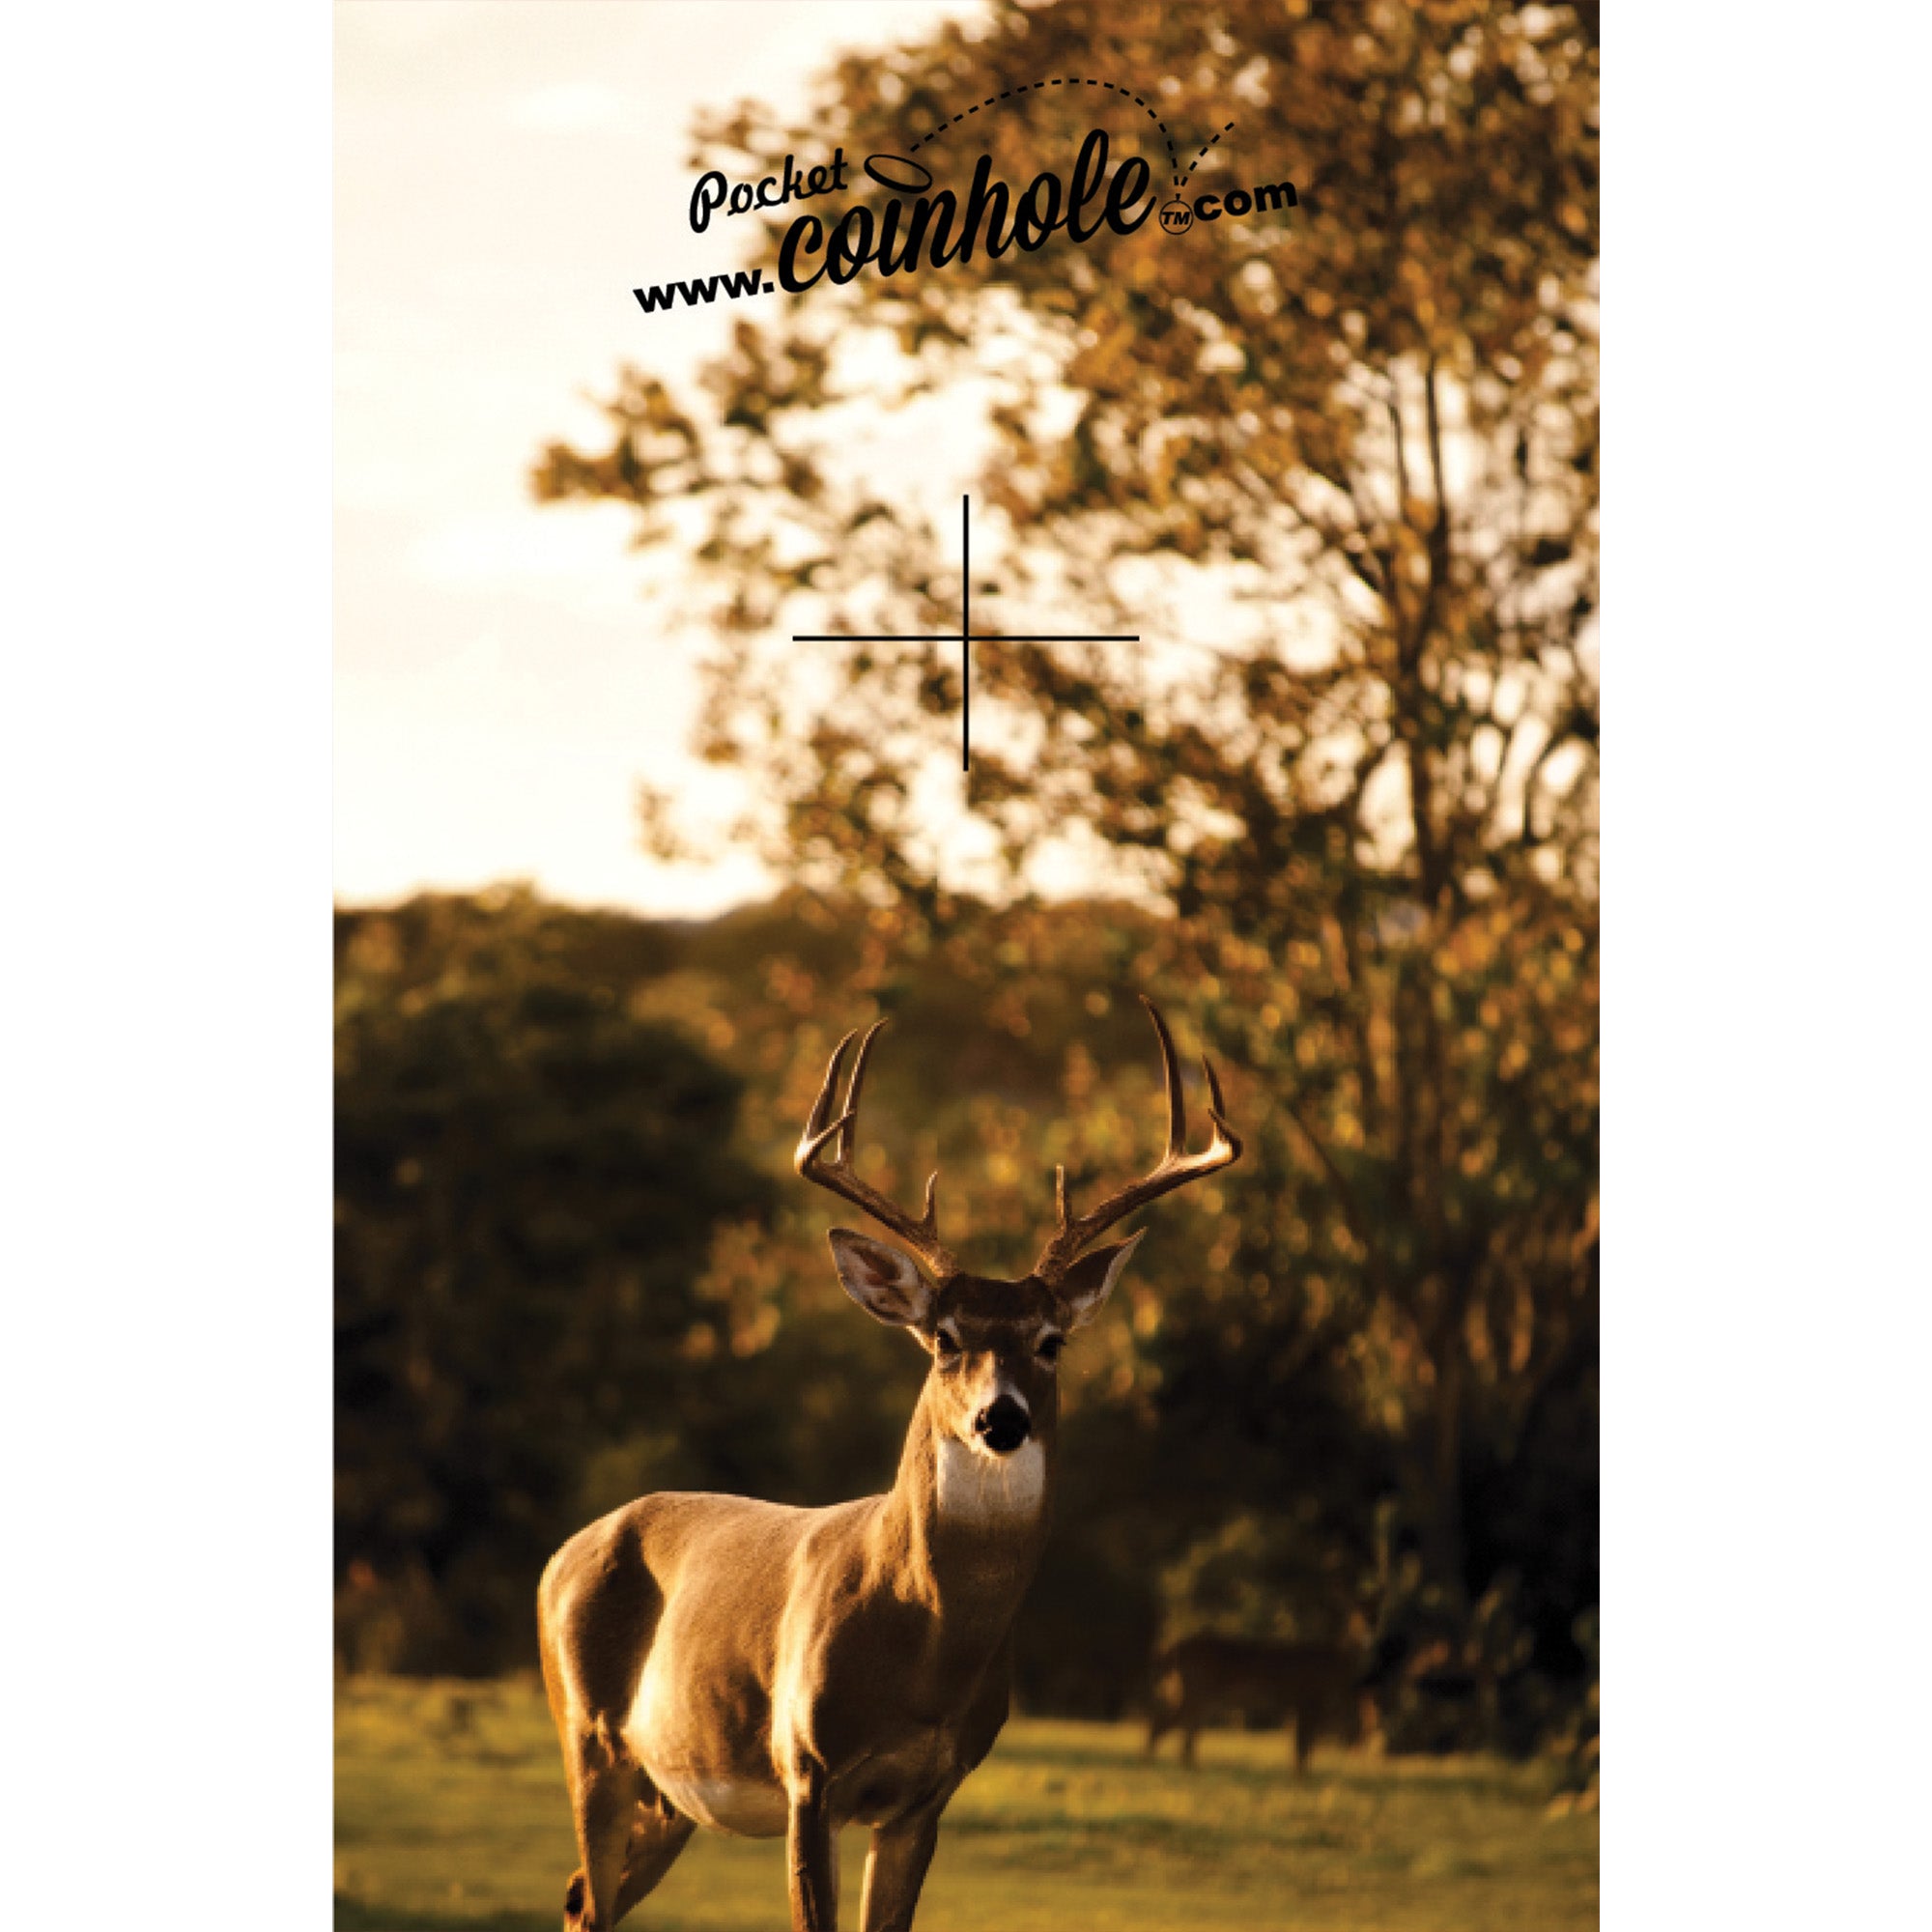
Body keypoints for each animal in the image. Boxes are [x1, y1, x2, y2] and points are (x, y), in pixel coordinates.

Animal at [536, 998, 1239, 1932]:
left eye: (1051, 1341)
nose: (1001, 1418)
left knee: (587, 1897)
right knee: (586, 1891)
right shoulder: (808, 1770)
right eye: (944, 1338)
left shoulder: (927, 1795)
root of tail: (562, 1555)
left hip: (669, 1791)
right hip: (588, 1738)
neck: (925, 1643)